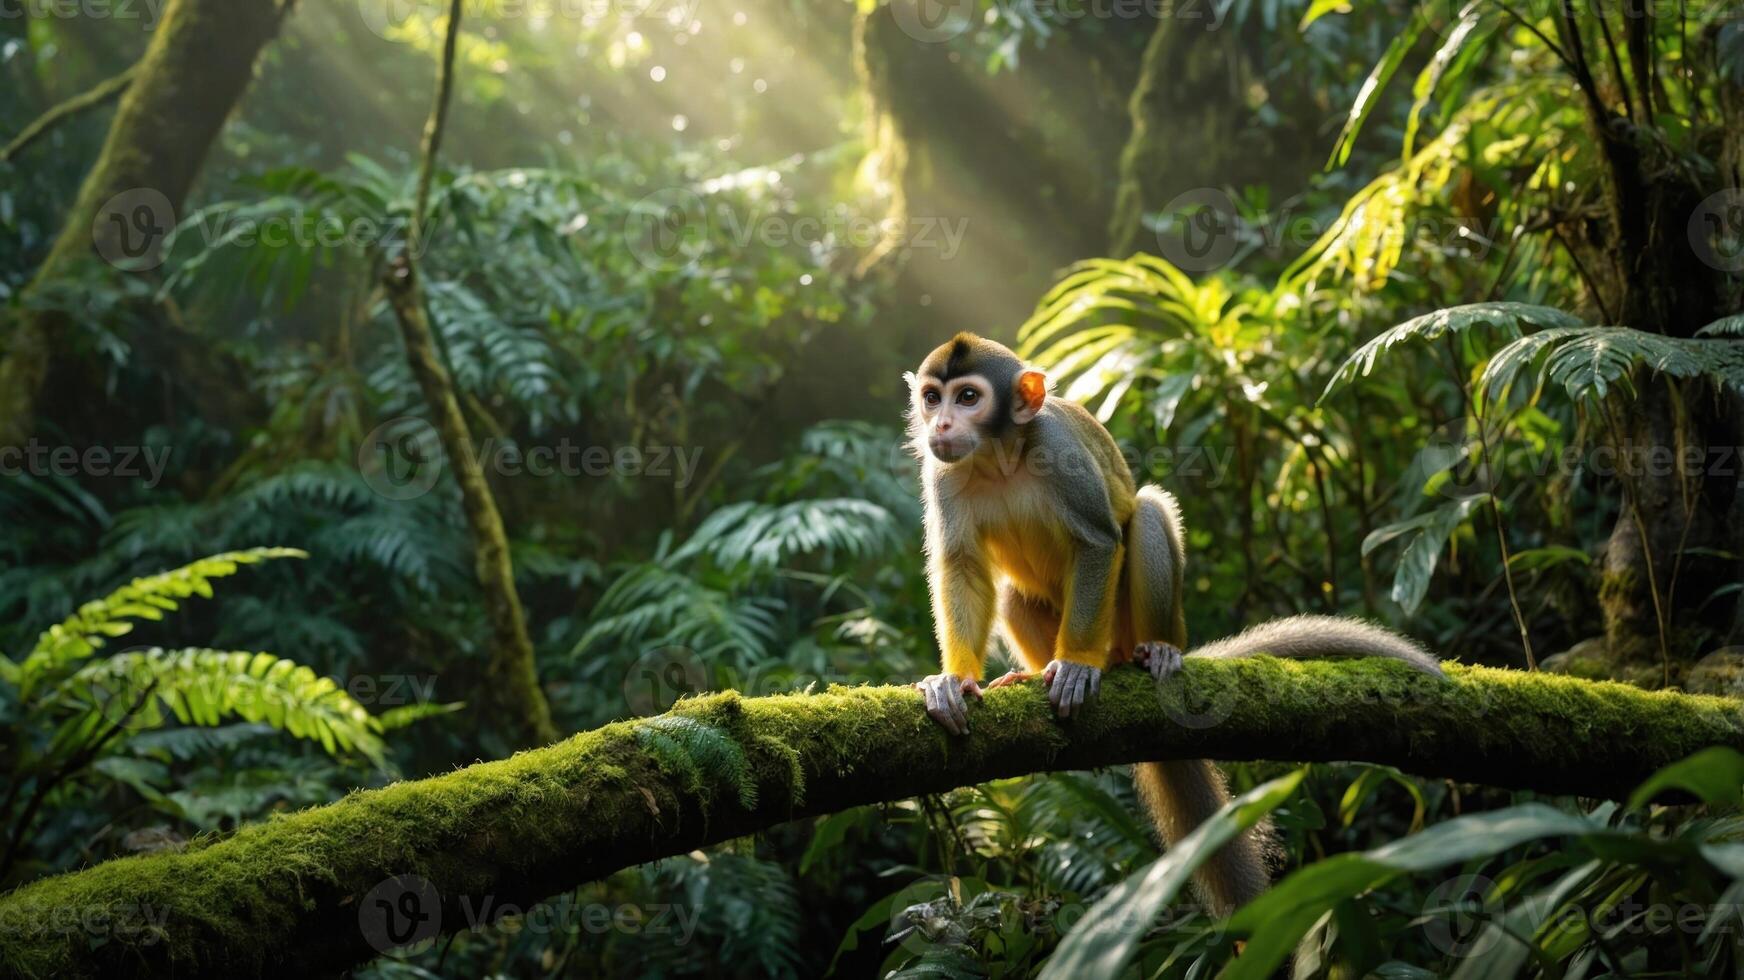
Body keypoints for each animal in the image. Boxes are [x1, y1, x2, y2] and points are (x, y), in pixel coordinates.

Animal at [906, 332, 1441, 916]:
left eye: (969, 398)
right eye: (933, 398)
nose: (941, 426)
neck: (1000, 457)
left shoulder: (1057, 448)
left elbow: (1098, 542)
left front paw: (1075, 666)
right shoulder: (944, 474)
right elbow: (961, 566)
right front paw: (956, 680)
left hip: (1122, 625)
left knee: (1145, 514)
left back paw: (1150, 651)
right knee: (1014, 591)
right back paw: (1036, 669)